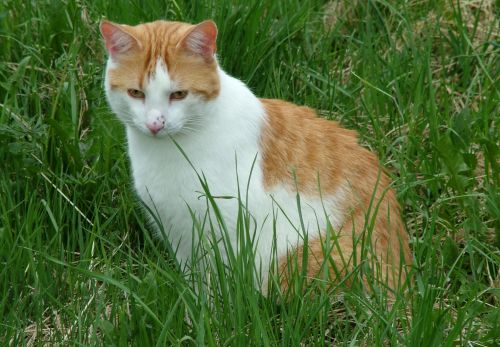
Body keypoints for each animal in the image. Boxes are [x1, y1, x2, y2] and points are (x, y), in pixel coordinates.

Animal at [99, 19, 412, 294]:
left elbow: (219, 286)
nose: (155, 124)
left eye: (178, 94)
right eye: (136, 93)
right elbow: (195, 284)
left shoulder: (224, 226)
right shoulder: (178, 234)